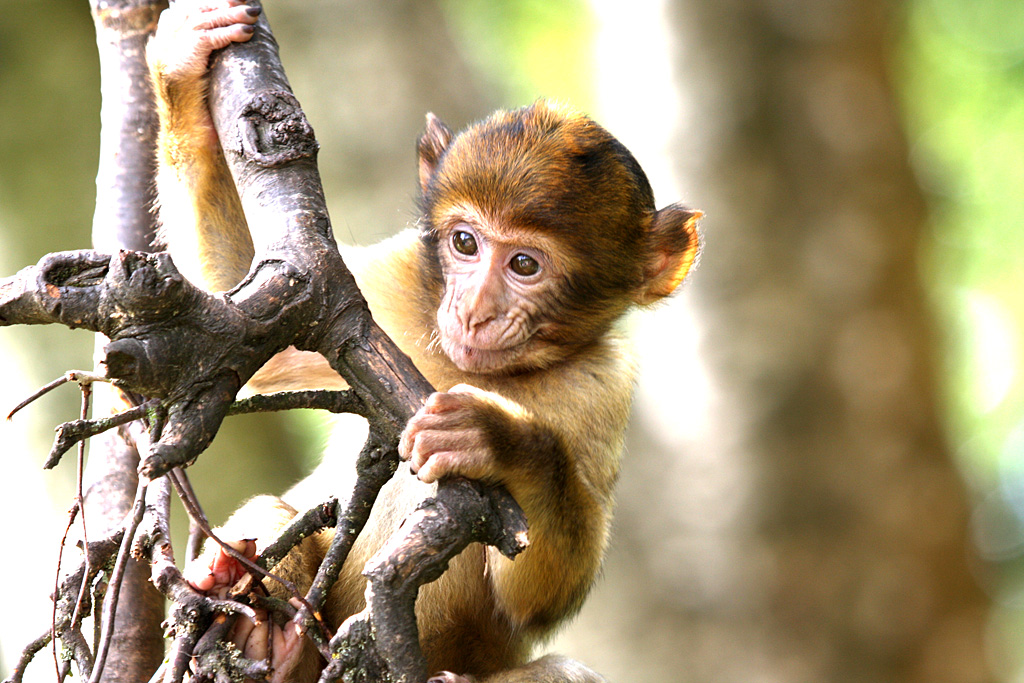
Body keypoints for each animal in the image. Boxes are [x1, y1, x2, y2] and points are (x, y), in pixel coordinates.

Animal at [147, 2, 701, 682]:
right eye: (465, 243)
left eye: (524, 264)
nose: (474, 311)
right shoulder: (391, 285)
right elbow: (247, 311)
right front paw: (182, 62)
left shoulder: (605, 385)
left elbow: (538, 593)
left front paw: (496, 440)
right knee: (274, 518)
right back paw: (261, 628)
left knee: (562, 669)